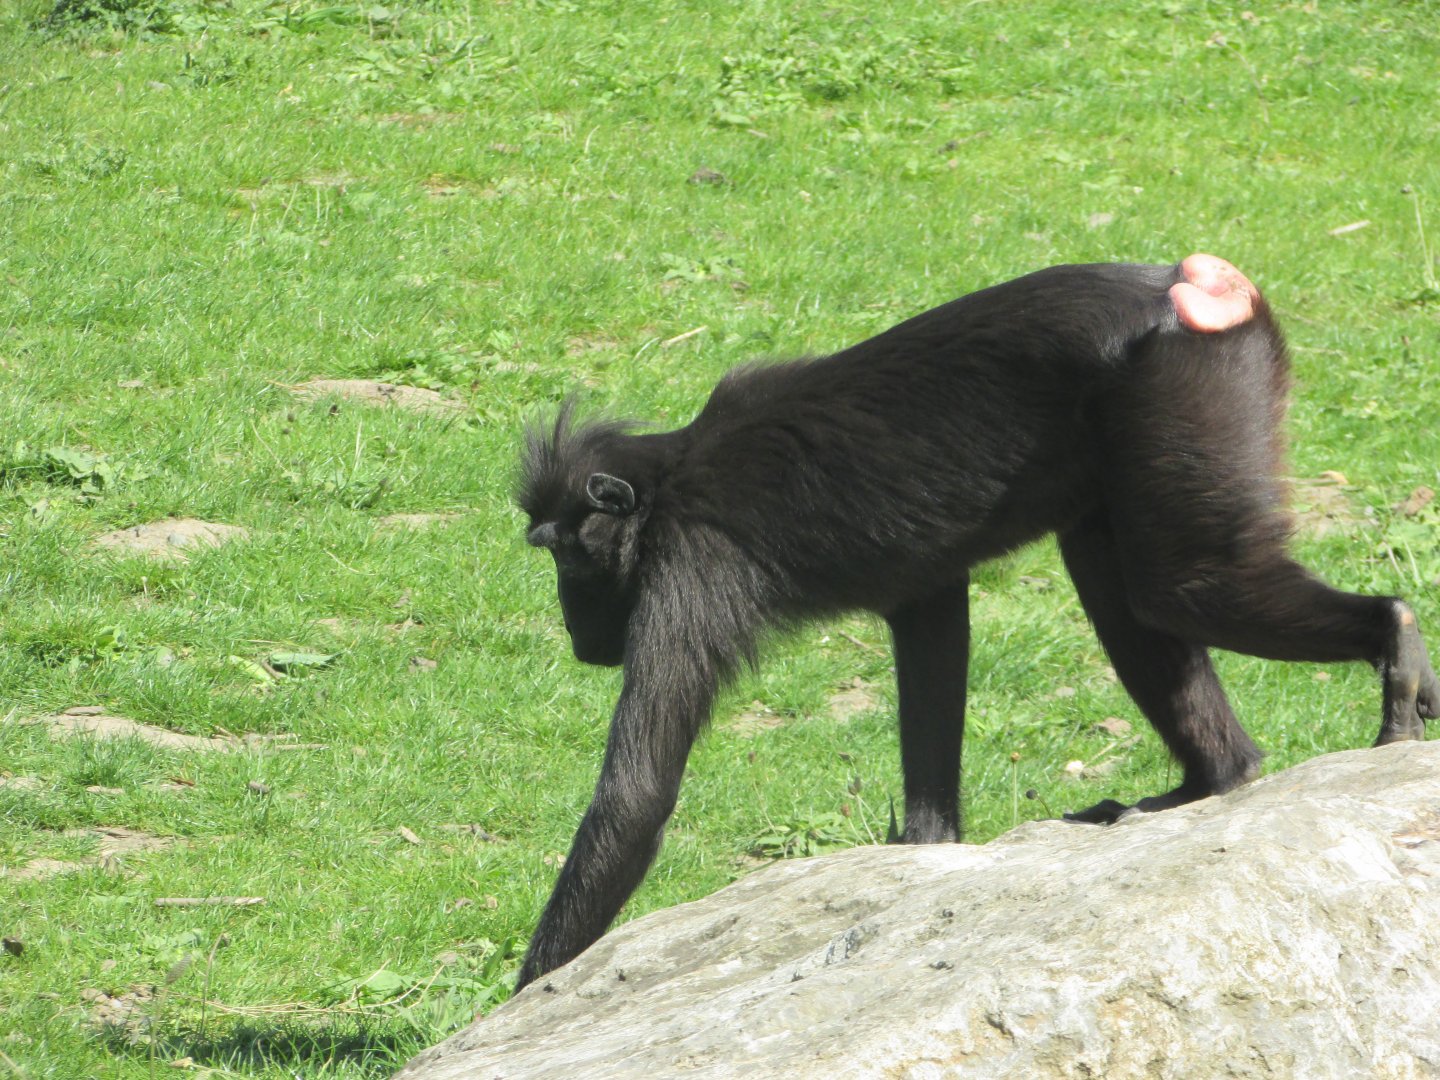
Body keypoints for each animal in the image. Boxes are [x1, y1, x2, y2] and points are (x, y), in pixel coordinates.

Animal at [513, 254, 1439, 990]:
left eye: (564, 557)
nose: (574, 632)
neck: (669, 477)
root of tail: (1192, 287)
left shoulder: (691, 566)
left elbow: (637, 794)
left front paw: (531, 992)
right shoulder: (915, 588)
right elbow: (932, 631)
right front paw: (929, 847)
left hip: (1185, 395)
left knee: (1182, 585)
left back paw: (1391, 644)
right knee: (1122, 590)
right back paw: (1215, 777)